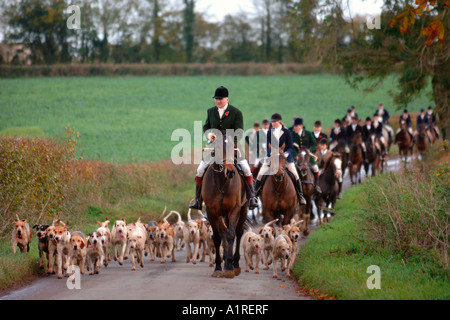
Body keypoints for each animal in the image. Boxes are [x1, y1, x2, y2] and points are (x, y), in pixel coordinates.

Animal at [202, 131, 248, 278]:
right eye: (217, 147)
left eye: (232, 147)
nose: (230, 172)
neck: (221, 182)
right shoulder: (212, 212)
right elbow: (217, 237)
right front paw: (218, 267)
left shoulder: (234, 209)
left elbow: (230, 235)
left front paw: (229, 267)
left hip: (243, 210)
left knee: (238, 232)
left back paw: (235, 264)